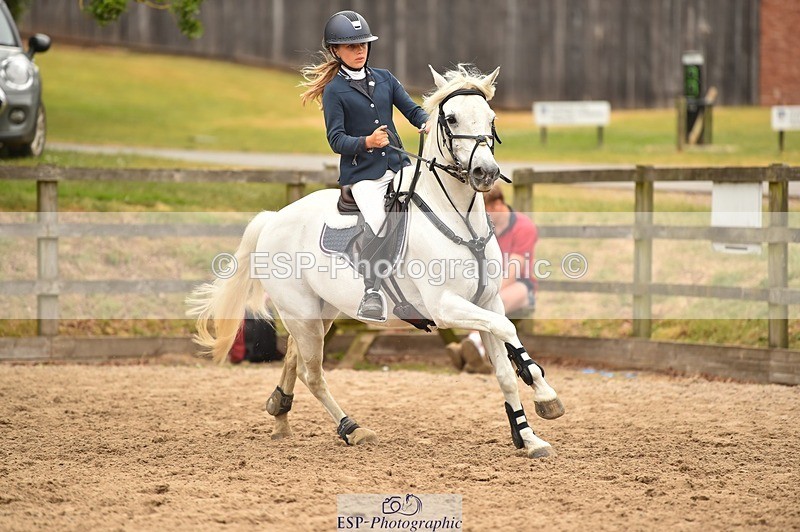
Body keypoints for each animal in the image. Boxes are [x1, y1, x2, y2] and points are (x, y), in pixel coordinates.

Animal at [187, 65, 564, 458]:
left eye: (491, 118)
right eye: (451, 118)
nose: (485, 173)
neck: (460, 220)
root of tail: (275, 217)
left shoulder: (488, 301)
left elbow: (504, 365)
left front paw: (529, 436)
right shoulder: (447, 306)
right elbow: (506, 331)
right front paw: (546, 396)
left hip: (322, 311)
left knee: (293, 356)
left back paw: (280, 415)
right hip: (301, 312)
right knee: (312, 373)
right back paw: (351, 428)